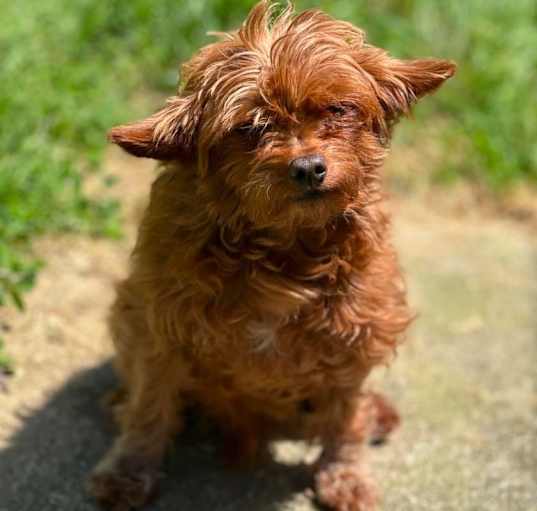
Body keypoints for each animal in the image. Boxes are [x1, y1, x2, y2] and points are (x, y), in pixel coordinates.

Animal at [88, 2, 452, 510]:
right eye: (250, 127)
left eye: (338, 109)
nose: (309, 168)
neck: (284, 246)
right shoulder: (159, 325)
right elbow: (150, 405)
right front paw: (129, 469)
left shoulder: (356, 331)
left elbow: (345, 416)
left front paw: (345, 474)